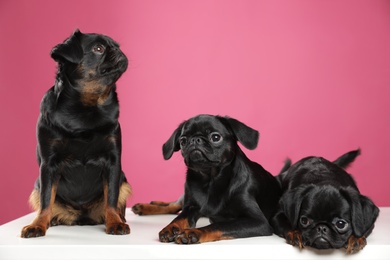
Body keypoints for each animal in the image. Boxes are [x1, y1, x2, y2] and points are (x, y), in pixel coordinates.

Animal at [21, 29, 131, 238]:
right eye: (99, 48)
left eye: (117, 46)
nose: (118, 51)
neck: (86, 108)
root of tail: (81, 218)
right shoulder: (48, 165)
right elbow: (46, 199)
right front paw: (38, 225)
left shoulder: (113, 162)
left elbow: (112, 198)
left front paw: (114, 222)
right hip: (36, 185)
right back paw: (52, 220)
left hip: (125, 182)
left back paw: (119, 219)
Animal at [139, 114, 282, 244]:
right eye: (183, 141)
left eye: (215, 137)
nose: (195, 140)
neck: (210, 180)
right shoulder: (191, 207)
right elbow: (179, 218)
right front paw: (170, 228)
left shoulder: (258, 221)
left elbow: (219, 225)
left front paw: (193, 232)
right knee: (173, 206)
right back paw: (143, 206)